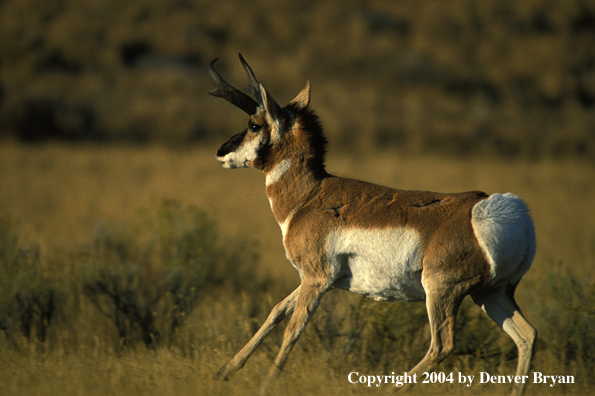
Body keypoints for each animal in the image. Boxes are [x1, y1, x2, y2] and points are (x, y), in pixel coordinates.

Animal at [211, 53, 540, 396]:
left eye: (254, 124)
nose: (221, 151)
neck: (310, 195)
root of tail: (499, 210)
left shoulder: (317, 279)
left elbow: (293, 329)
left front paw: (265, 385)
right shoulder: (315, 279)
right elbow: (276, 310)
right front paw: (224, 371)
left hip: (442, 291)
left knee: (442, 345)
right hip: (491, 294)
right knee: (527, 335)